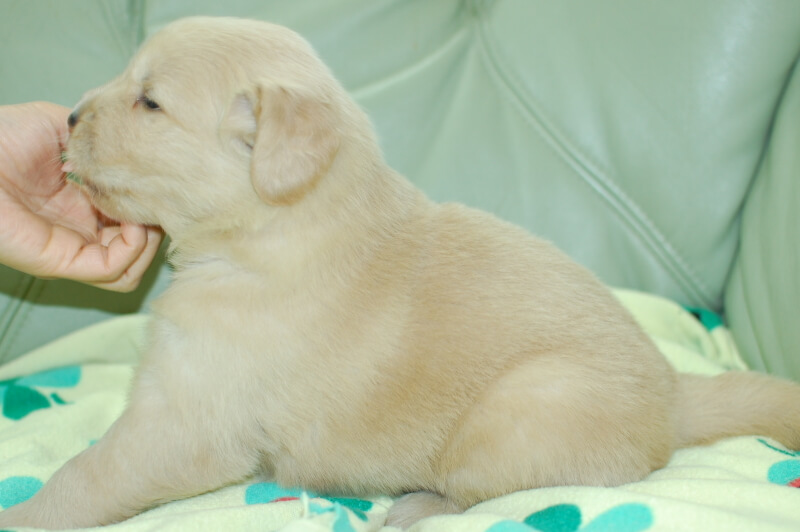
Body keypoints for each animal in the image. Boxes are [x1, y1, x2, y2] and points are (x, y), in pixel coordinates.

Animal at [1, 15, 800, 528]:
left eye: (150, 102)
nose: (68, 116)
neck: (274, 233)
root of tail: (676, 397)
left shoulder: (185, 423)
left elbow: (85, 476)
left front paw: (28, 512)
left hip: (518, 411)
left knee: (487, 493)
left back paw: (415, 505)